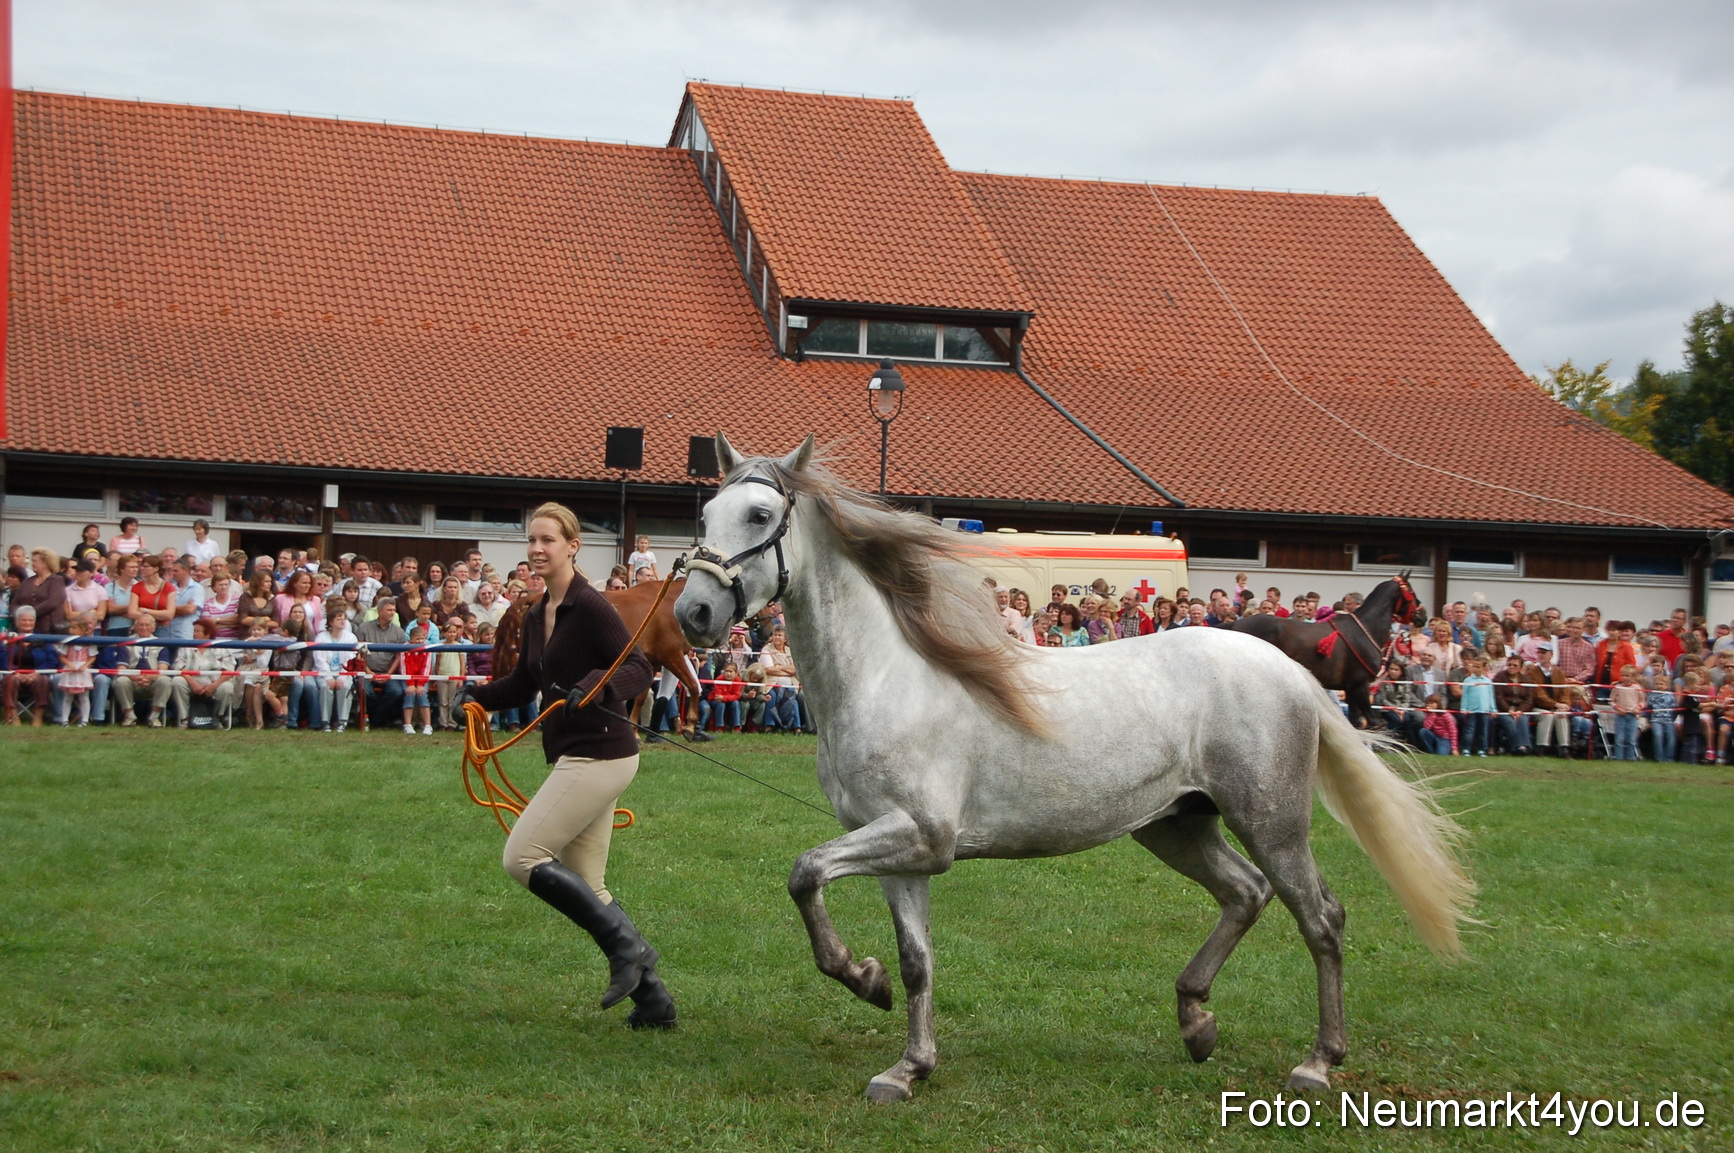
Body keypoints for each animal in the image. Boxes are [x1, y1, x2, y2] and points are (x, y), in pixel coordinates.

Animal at [603, 578, 710, 742]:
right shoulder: (671, 655)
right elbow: (693, 686)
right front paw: (690, 728)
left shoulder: (652, 662)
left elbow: (641, 697)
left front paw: (634, 732)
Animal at [1226, 575, 1421, 729]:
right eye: (1411, 592)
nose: (1422, 615)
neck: (1365, 629)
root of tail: (1236, 625)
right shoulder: (1360, 685)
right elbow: (1374, 723)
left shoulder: (1351, 689)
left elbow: (1356, 725)